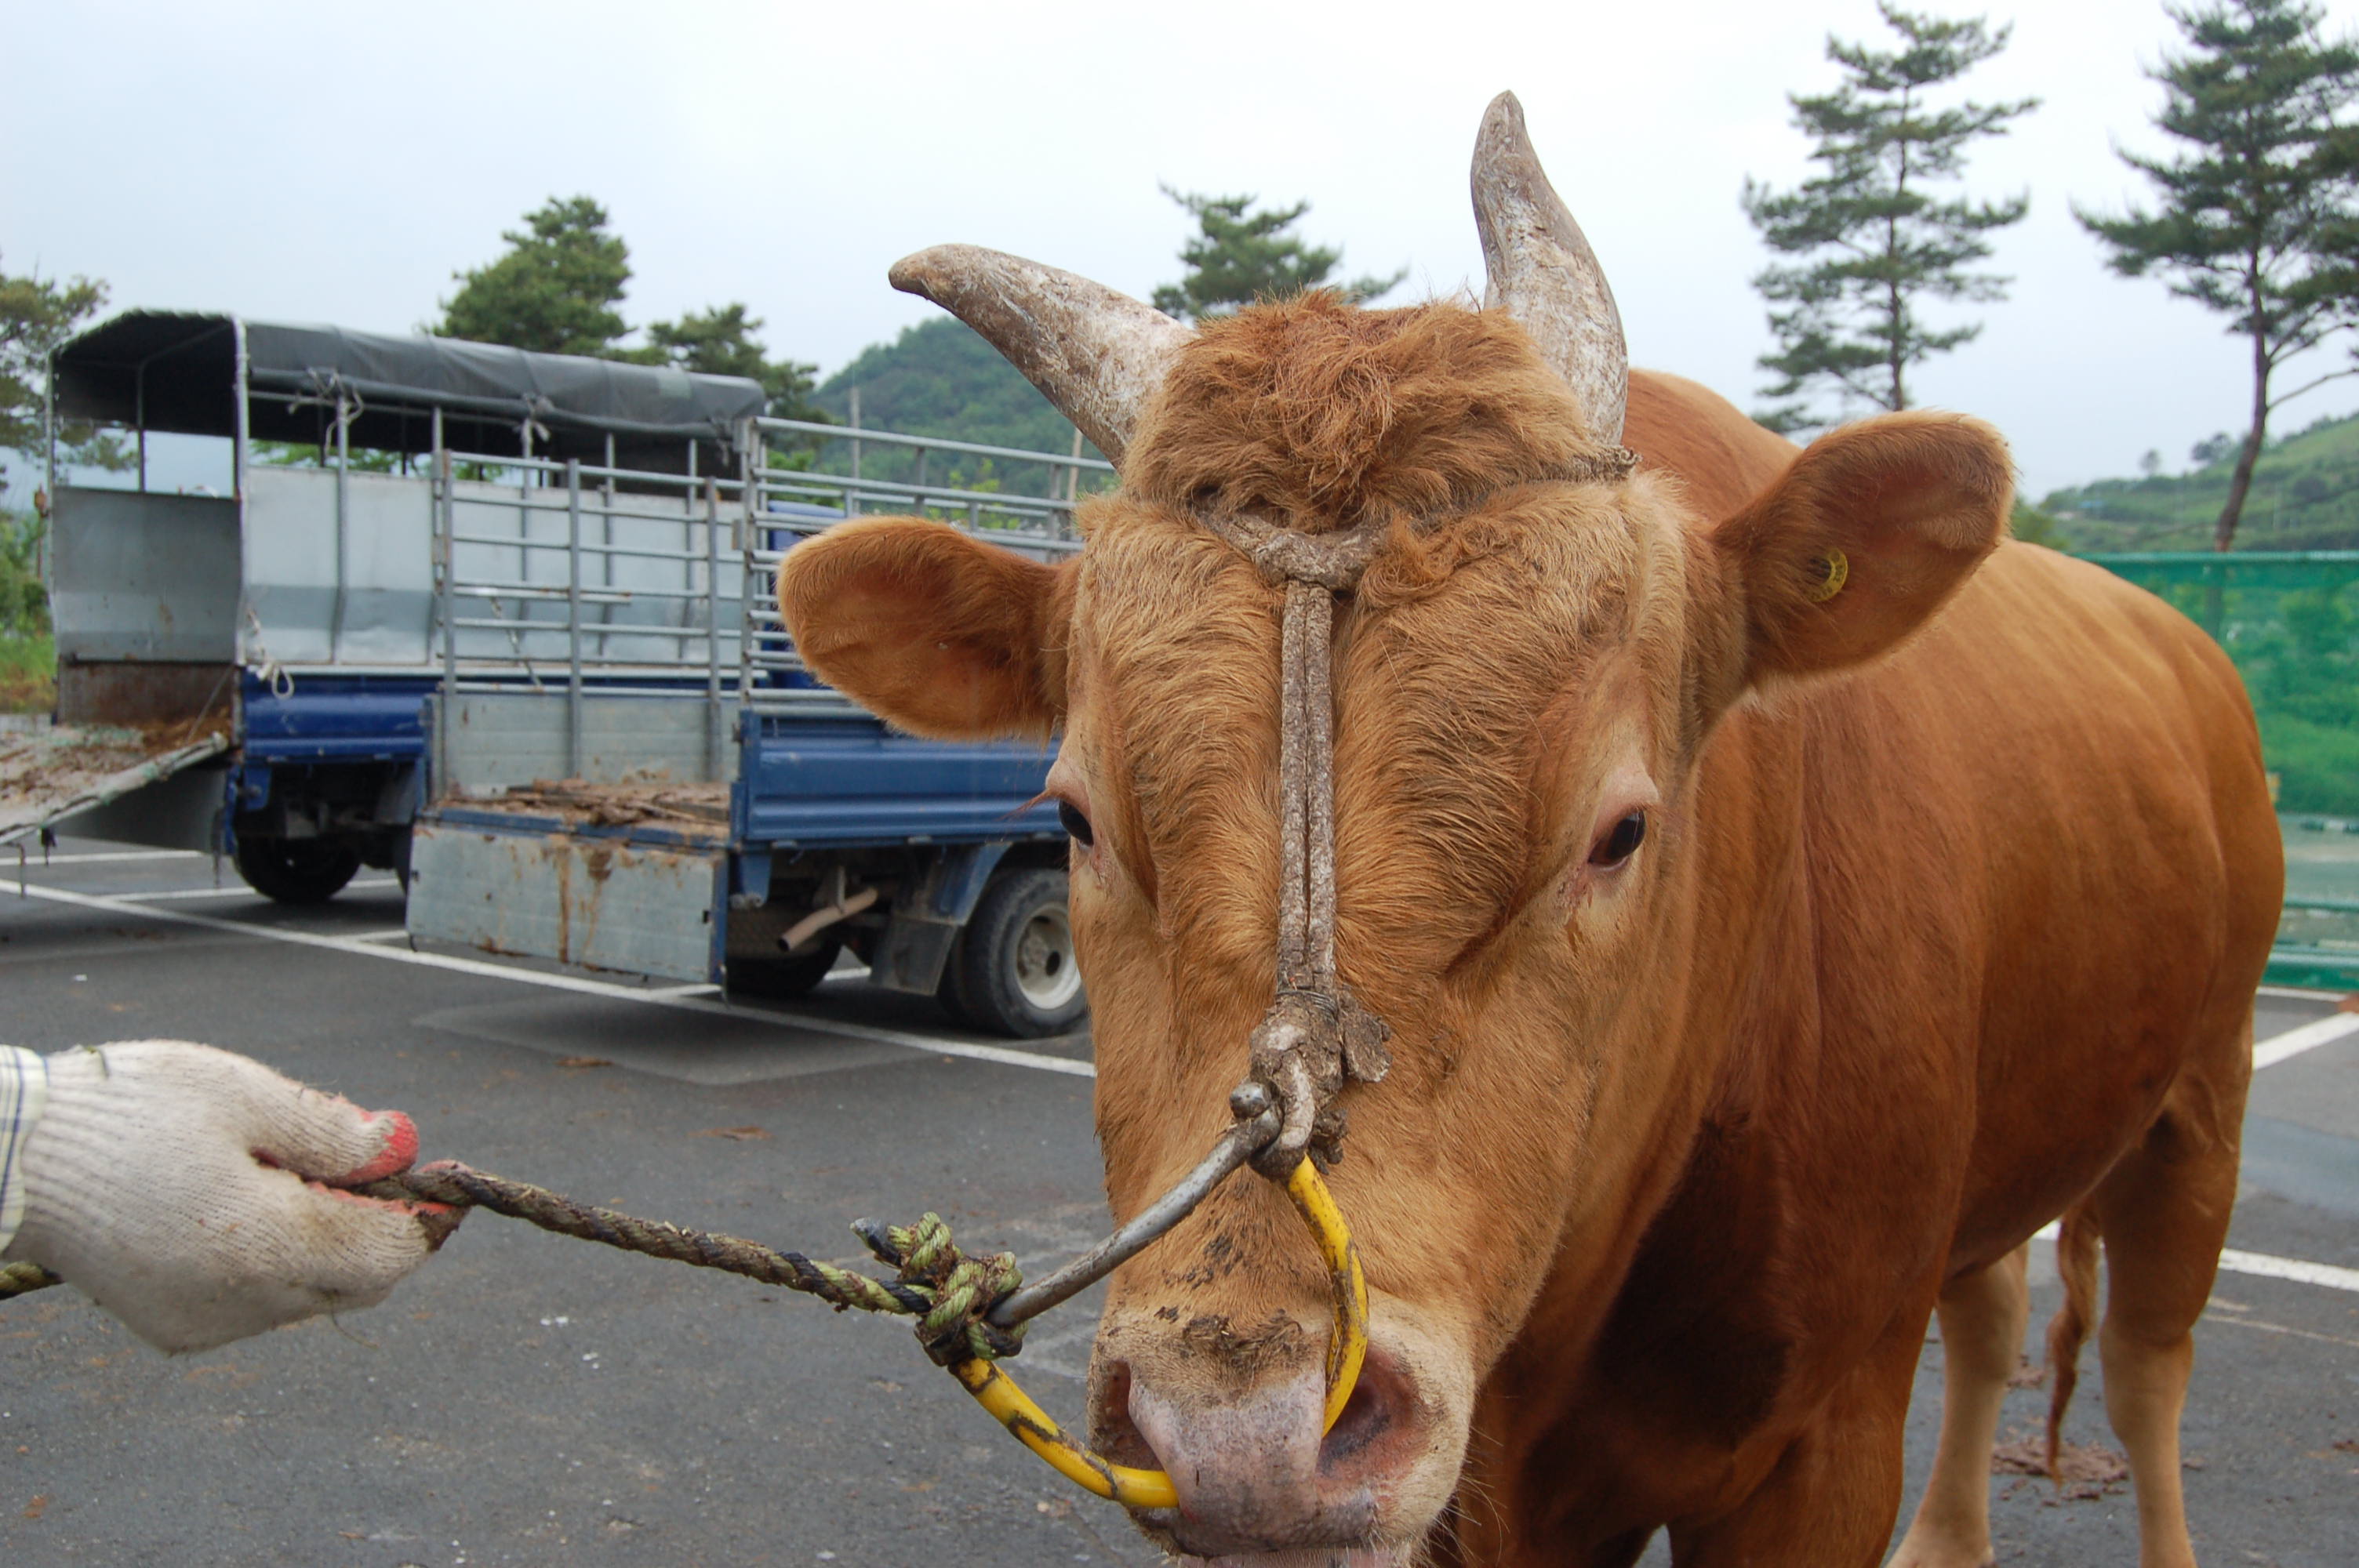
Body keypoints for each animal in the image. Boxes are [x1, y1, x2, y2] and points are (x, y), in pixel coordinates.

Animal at [778, 97, 2283, 1565]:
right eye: (1081, 817)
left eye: (1621, 831)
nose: (1243, 1438)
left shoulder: (1824, 1436)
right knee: (1992, 1312)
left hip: (2203, 1094)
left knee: (2145, 1365)